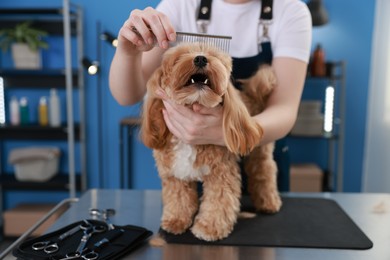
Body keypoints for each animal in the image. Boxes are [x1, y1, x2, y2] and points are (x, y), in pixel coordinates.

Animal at [140, 43, 280, 242]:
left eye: (214, 56)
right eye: (179, 56)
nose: (200, 58)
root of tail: (252, 97)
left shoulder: (221, 173)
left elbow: (218, 201)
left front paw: (209, 228)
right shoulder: (175, 174)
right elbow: (178, 199)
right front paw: (176, 221)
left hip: (258, 151)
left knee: (264, 171)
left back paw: (268, 203)